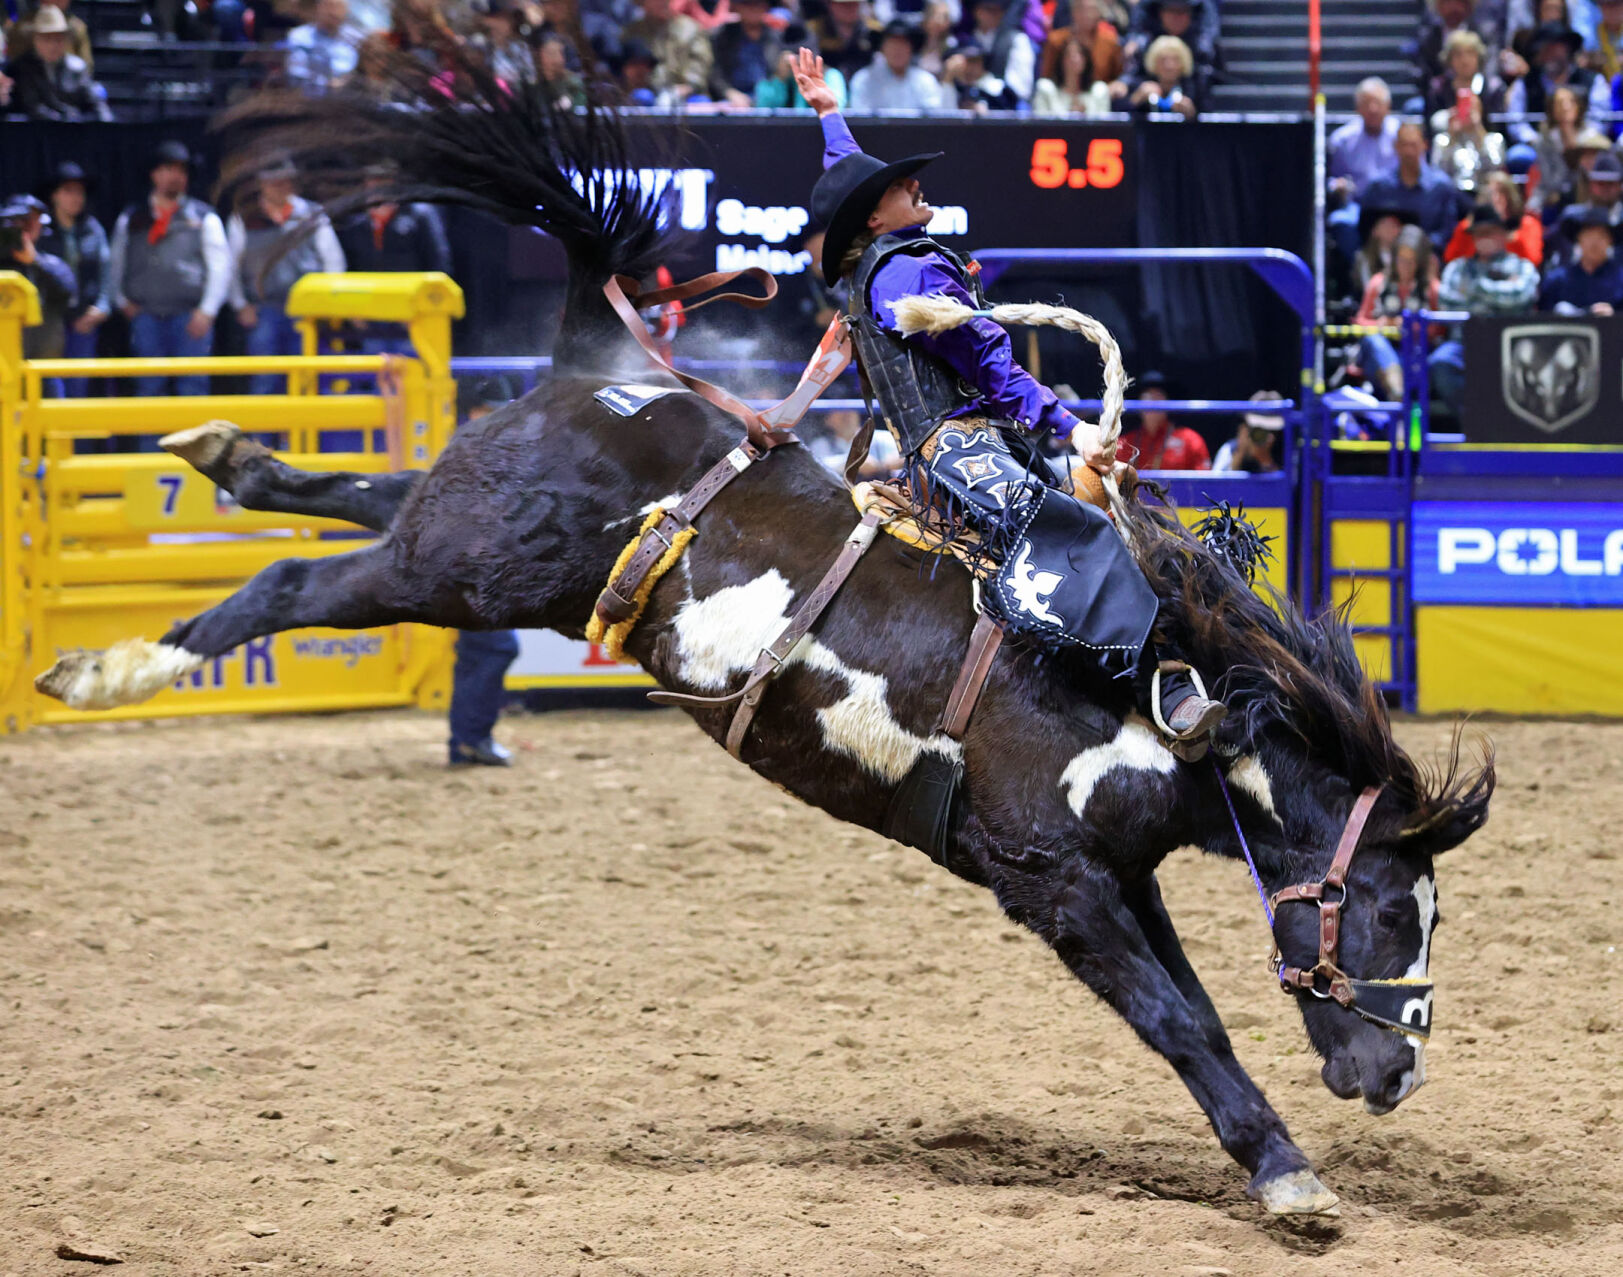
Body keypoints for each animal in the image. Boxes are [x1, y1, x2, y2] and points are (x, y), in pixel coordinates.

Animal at [28, 57, 1493, 1220]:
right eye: (1385, 907)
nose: (1397, 1068)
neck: (1157, 697)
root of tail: (588, 358)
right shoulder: (1051, 878)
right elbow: (1178, 1019)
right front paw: (1288, 1177)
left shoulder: (1117, 876)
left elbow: (1190, 1006)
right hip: (465, 567)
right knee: (293, 581)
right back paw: (113, 663)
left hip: (464, 537)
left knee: (342, 497)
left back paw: (220, 452)